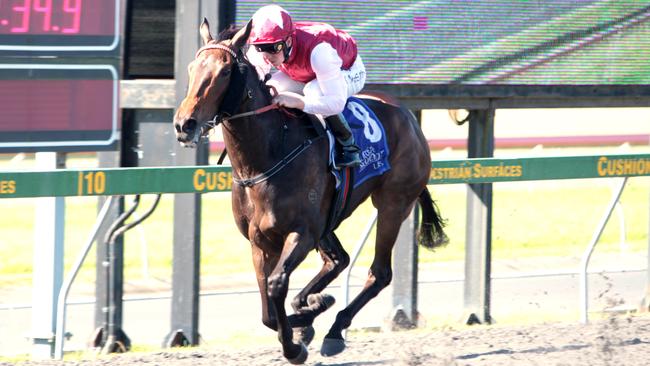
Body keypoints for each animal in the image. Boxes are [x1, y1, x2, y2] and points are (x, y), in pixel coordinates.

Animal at [172, 19, 446, 364]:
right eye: (192, 68)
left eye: (224, 72)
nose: (185, 124)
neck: (265, 159)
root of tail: (409, 117)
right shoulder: (260, 242)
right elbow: (267, 310)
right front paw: (306, 316)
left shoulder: (301, 232)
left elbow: (276, 285)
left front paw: (296, 341)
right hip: (330, 220)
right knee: (338, 260)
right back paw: (313, 308)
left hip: (393, 204)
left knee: (379, 273)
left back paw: (334, 331)